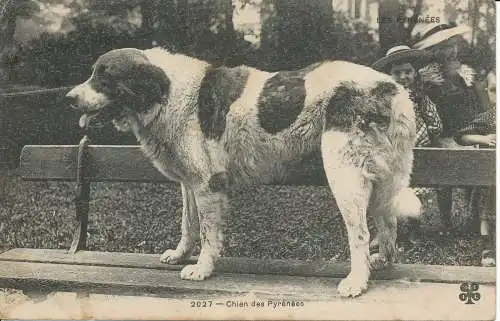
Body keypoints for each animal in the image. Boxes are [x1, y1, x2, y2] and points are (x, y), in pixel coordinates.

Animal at [66, 46, 422, 296]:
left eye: (105, 77)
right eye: (93, 73)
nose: (69, 98)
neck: (166, 94)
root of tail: (390, 87)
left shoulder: (207, 186)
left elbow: (207, 233)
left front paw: (202, 269)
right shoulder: (190, 185)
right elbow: (188, 225)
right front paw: (180, 255)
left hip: (344, 174)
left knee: (360, 234)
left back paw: (357, 281)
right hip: (381, 180)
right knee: (388, 224)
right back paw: (381, 262)